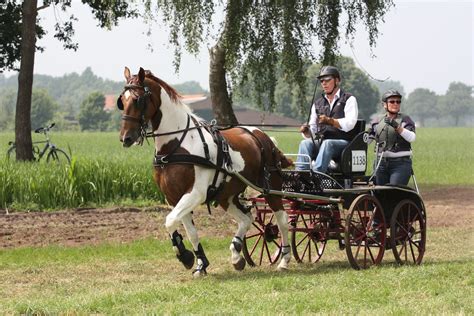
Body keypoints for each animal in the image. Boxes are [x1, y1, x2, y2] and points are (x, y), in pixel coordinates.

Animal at [116, 66, 290, 276]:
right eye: (122, 100)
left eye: (138, 99)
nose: (126, 138)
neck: (176, 146)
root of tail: (264, 136)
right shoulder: (173, 197)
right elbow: (189, 231)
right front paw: (200, 263)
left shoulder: (195, 193)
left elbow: (169, 220)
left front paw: (185, 256)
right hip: (226, 196)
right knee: (246, 219)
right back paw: (236, 255)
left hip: (271, 189)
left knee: (282, 220)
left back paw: (284, 260)